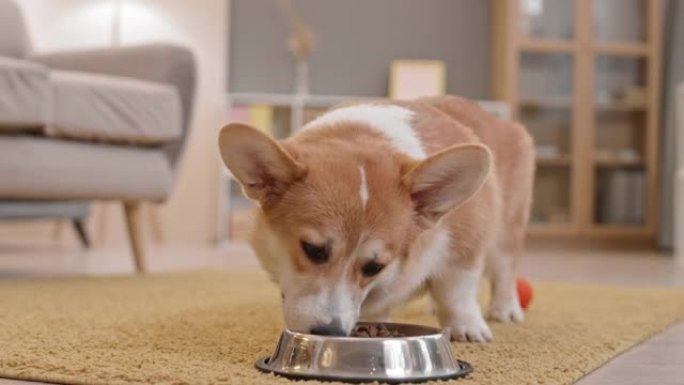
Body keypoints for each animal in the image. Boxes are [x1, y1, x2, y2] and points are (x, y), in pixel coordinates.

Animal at [219, 94, 536, 340]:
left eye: (374, 267)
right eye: (313, 250)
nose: (330, 333)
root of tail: (501, 121)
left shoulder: (465, 242)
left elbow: (458, 291)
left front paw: (467, 328)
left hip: (507, 226)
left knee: (505, 267)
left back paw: (505, 309)